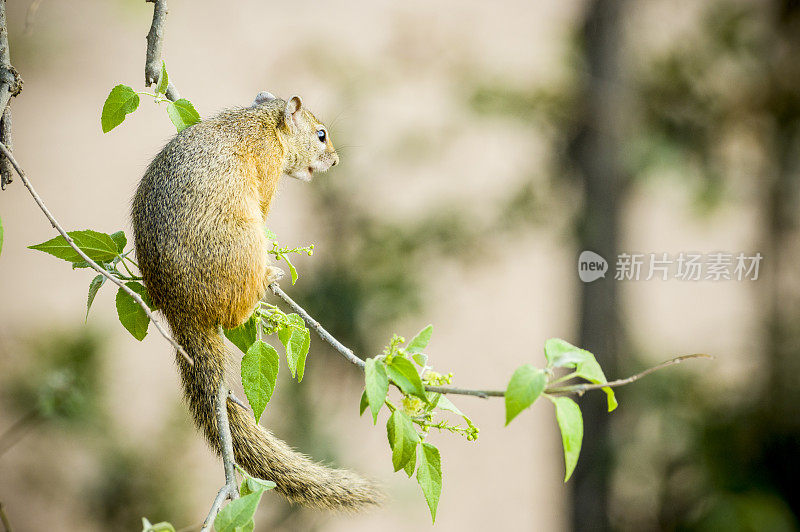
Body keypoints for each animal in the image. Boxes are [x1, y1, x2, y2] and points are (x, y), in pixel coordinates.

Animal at [131, 92, 382, 512]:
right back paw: (265, 281)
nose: (335, 161)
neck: (262, 123)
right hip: (247, 246)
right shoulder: (266, 172)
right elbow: (266, 203)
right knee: (234, 316)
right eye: (321, 134)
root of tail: (181, 311)